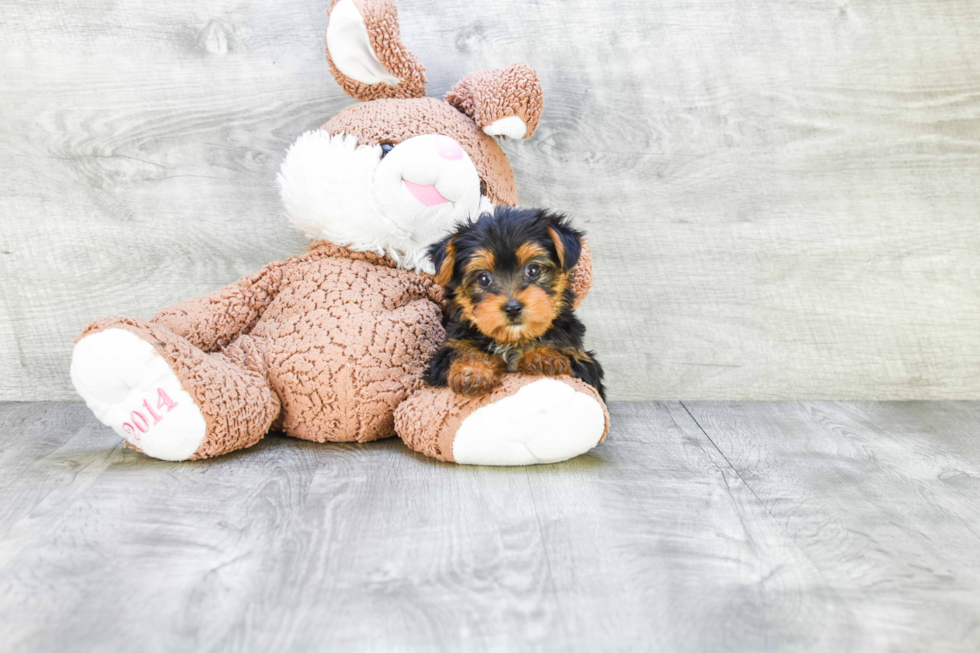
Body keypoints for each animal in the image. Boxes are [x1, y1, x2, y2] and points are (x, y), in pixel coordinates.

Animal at [424, 205, 604, 398]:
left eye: (533, 270)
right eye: (483, 279)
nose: (512, 308)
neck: (512, 340)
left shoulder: (583, 361)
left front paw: (544, 355)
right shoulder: (448, 351)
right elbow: (458, 353)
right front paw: (471, 370)